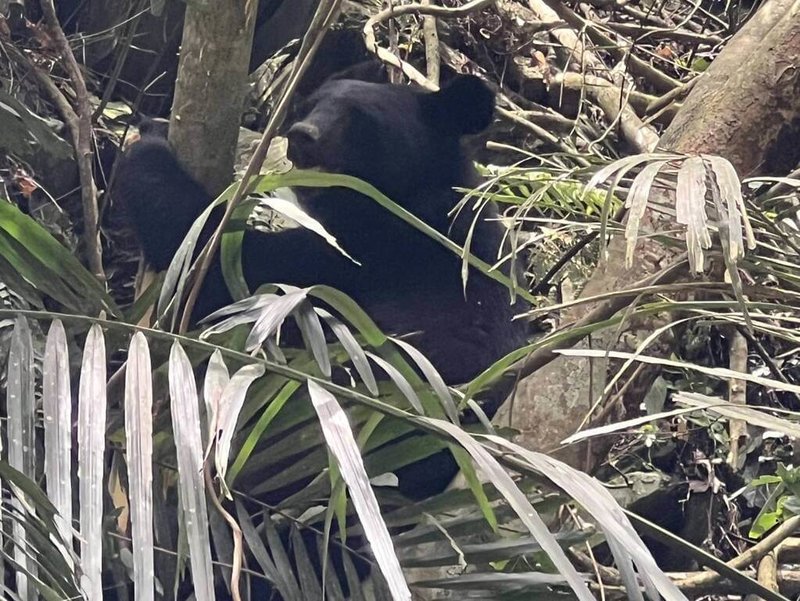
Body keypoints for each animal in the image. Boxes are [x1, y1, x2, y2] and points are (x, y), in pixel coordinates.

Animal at [115, 64, 529, 501]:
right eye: (309, 104)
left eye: (359, 119)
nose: (302, 135)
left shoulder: (365, 258)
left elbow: (211, 255)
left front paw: (150, 138)